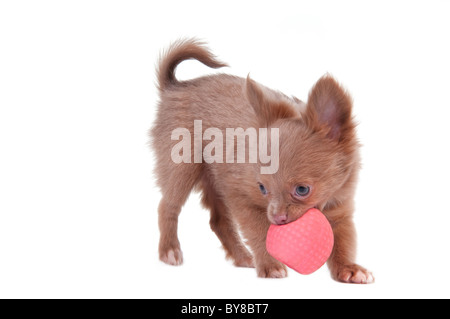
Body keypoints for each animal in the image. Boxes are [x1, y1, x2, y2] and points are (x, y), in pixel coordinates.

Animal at [150, 38, 372, 284]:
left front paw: (349, 268)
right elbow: (259, 233)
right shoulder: (243, 199)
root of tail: (175, 87)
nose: (277, 218)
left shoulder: (339, 206)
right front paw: (269, 264)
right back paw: (169, 250)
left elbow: (343, 241)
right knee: (167, 206)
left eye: (302, 190)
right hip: (182, 169)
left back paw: (242, 257)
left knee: (218, 221)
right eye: (262, 188)